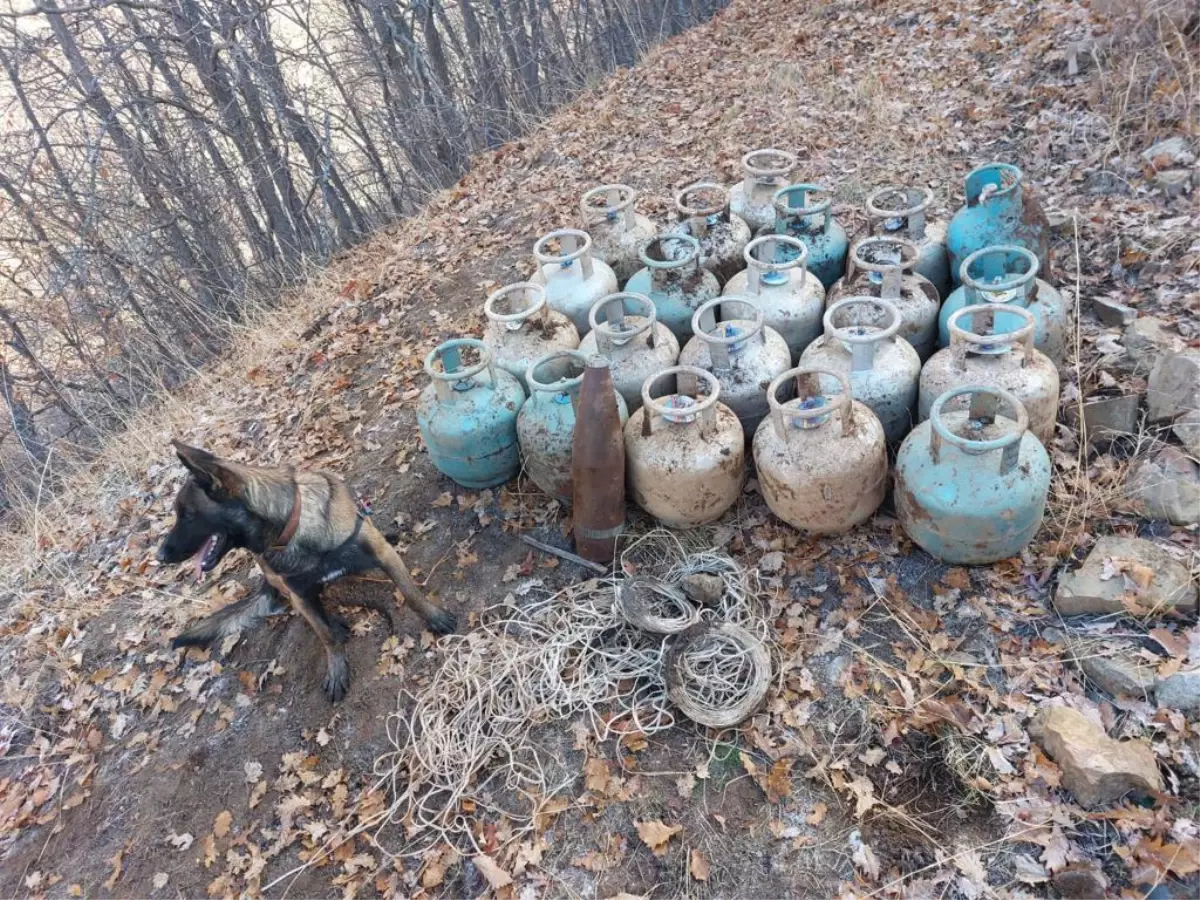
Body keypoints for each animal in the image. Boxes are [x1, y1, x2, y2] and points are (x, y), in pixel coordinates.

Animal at [157, 441, 456, 700]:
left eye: (187, 516)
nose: (159, 556)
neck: (292, 531)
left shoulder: (383, 555)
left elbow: (410, 593)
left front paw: (434, 616)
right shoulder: (299, 593)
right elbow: (324, 635)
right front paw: (336, 666)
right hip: (279, 582)